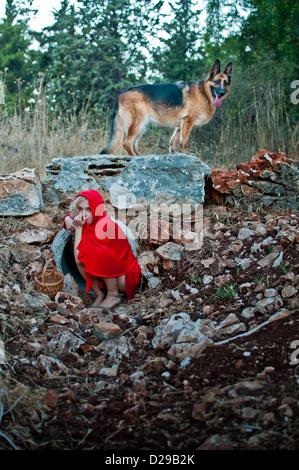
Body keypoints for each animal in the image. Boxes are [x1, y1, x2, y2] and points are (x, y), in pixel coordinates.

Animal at [100, 59, 232, 156]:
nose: (221, 93)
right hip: (137, 124)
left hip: (141, 127)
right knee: (127, 143)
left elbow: (173, 143)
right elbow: (184, 142)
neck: (204, 92)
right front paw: (187, 154)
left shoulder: (179, 127)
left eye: (225, 83)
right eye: (217, 81)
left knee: (133, 145)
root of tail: (121, 94)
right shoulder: (187, 122)